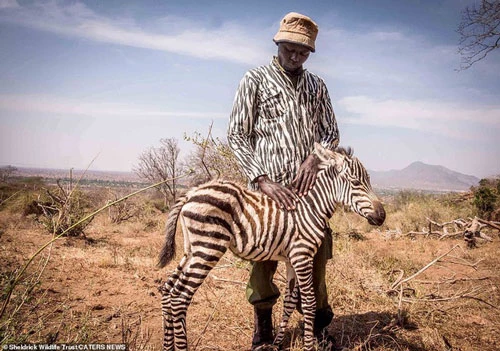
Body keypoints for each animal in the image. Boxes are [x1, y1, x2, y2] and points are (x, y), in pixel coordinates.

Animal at [158, 143, 384, 351]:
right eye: (356, 182)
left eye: (368, 180)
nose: (382, 216)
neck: (311, 208)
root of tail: (192, 192)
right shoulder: (302, 256)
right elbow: (309, 302)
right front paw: (308, 346)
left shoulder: (292, 259)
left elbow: (289, 302)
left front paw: (277, 344)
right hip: (208, 247)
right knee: (180, 297)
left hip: (192, 249)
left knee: (168, 289)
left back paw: (168, 345)